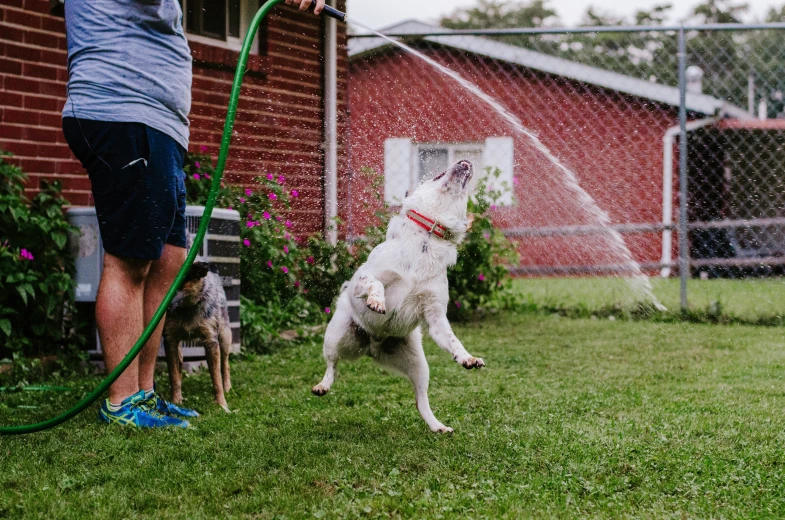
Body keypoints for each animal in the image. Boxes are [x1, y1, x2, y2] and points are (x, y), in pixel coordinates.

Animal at [312, 160, 484, 432]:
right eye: (438, 174)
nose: (464, 161)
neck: (426, 241)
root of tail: (372, 346)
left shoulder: (435, 315)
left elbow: (453, 340)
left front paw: (467, 358)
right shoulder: (362, 281)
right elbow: (375, 283)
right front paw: (376, 301)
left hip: (419, 365)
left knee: (420, 400)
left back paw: (438, 426)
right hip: (336, 335)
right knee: (333, 366)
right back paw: (323, 385)